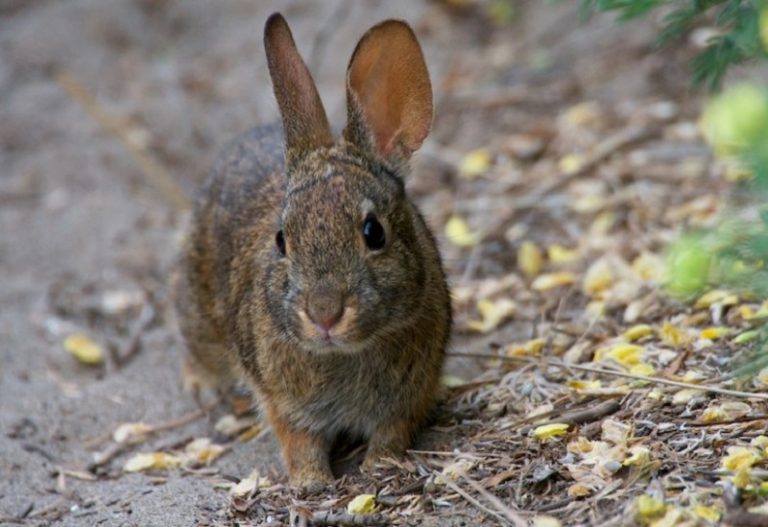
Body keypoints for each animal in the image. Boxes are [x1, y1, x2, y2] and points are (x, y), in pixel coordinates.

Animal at [174, 12, 451, 490]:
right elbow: (298, 441)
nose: (324, 314)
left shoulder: (409, 396)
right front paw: (311, 482)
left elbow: (392, 431)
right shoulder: (281, 401)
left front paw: (380, 464)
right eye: (281, 240)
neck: (346, 351)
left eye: (374, 232)